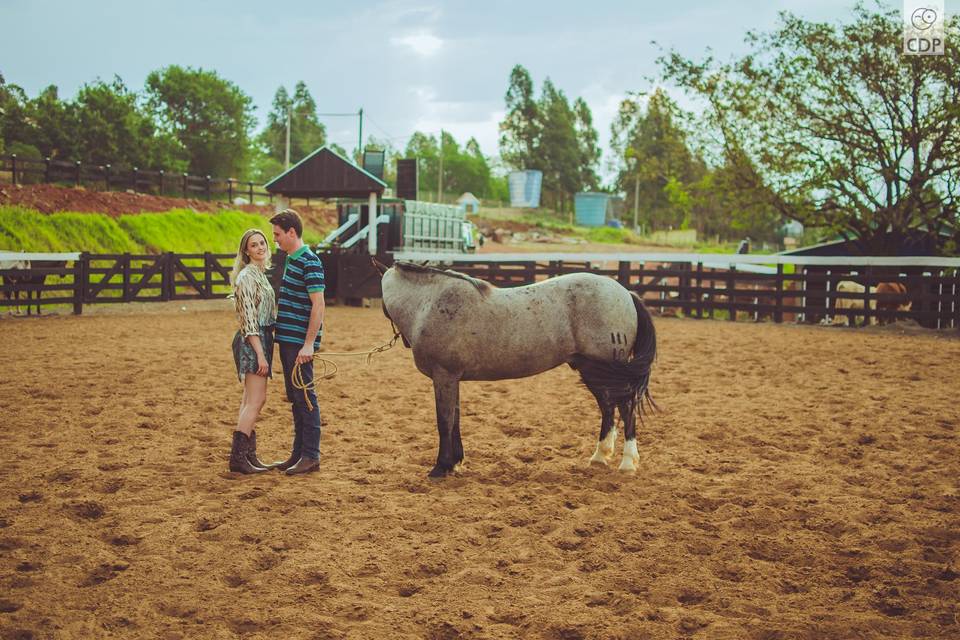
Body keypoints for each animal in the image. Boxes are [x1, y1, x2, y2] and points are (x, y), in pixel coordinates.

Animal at [378, 260, 656, 476]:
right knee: (608, 409)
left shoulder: (443, 376)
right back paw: (600, 457)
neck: (430, 303)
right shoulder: (452, 379)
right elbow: (455, 419)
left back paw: (627, 462)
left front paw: (441, 467)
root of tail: (626, 293)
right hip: (593, 371)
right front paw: (455, 462)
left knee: (626, 408)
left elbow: (444, 421)